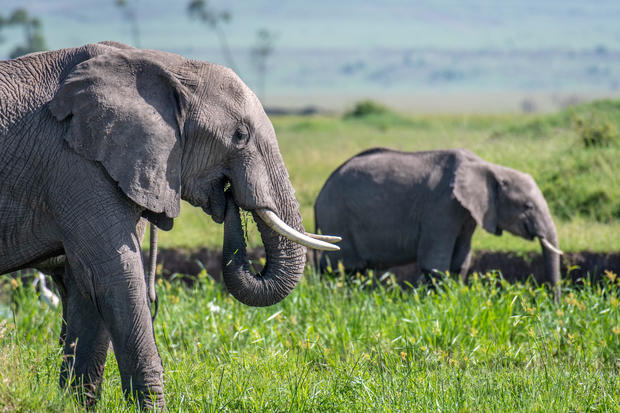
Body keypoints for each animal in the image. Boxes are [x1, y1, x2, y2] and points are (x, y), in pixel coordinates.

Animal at [0, 40, 340, 408]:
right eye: (240, 135)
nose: (229, 197)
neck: (167, 66)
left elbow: (85, 288)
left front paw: (72, 406)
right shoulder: (76, 165)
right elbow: (114, 276)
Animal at [314, 146, 560, 292]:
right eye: (527, 206)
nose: (554, 303)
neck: (487, 167)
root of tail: (319, 196)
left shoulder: (466, 213)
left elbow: (460, 262)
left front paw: (452, 296)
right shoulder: (442, 207)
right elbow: (436, 265)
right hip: (338, 218)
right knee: (345, 268)